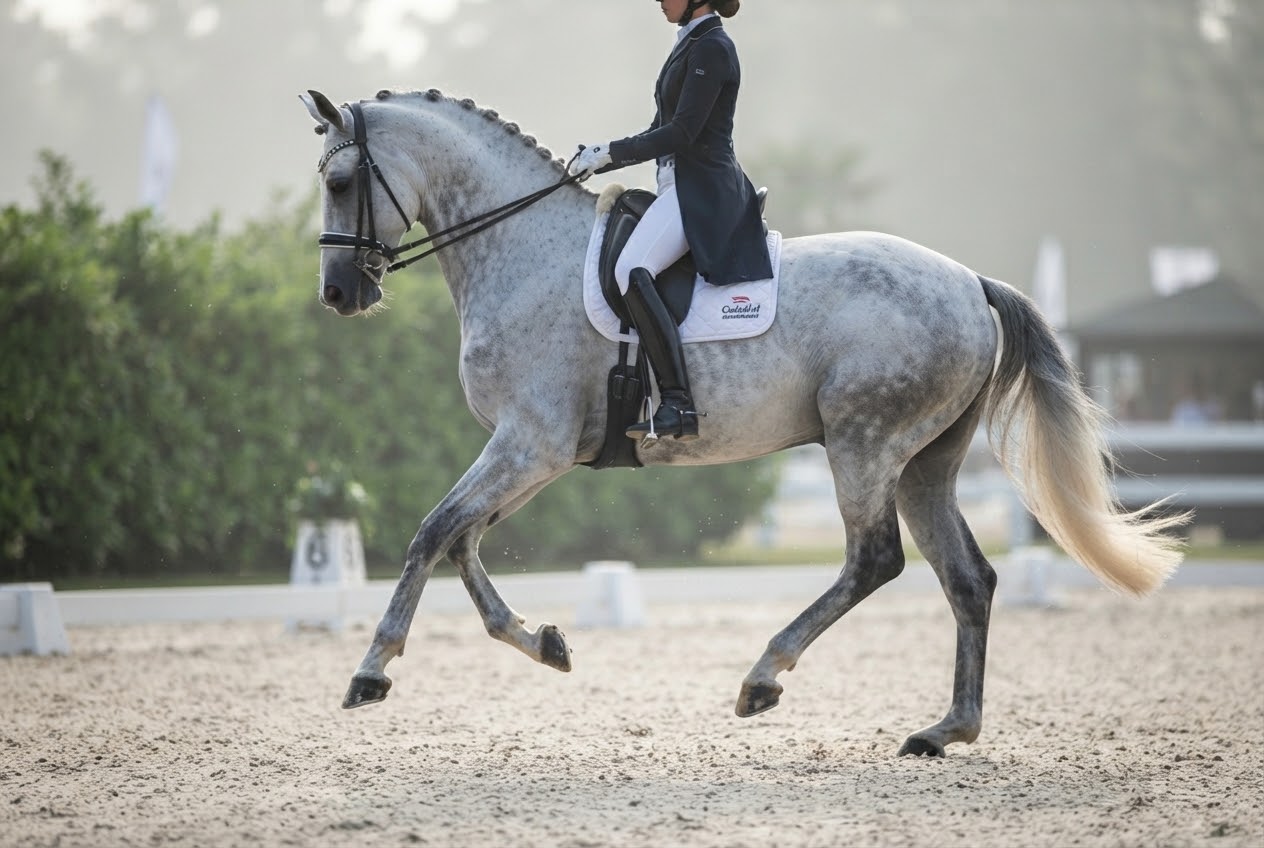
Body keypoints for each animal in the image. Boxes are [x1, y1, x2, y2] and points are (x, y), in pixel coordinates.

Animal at [300, 88, 1186, 757]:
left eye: (341, 180)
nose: (339, 294)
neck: (520, 252)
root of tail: (972, 282)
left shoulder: (529, 442)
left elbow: (431, 531)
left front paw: (372, 669)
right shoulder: (538, 453)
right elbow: (463, 541)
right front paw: (543, 641)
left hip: (864, 443)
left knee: (875, 561)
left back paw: (764, 676)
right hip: (926, 461)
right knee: (966, 577)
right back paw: (944, 730)